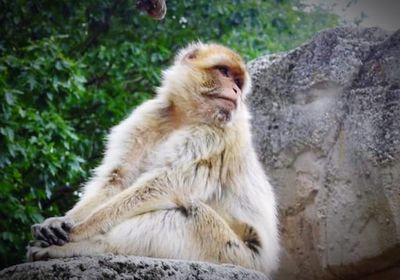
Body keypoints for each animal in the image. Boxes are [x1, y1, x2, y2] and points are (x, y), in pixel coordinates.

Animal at [26, 42, 280, 276]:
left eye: (238, 82)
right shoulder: (148, 116)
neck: (186, 117)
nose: (235, 90)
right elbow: (117, 179)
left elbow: (165, 183)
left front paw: (78, 232)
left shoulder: (217, 137)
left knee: (189, 212)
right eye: (225, 72)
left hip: (233, 252)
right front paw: (61, 221)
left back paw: (91, 246)